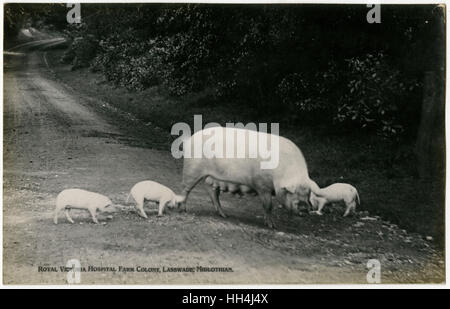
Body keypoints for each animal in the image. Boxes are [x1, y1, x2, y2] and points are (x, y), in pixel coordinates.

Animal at [178, 125, 322, 229]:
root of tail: (189, 139)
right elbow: (268, 205)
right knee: (185, 189)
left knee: (212, 192)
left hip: (211, 177)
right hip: (191, 170)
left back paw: (224, 215)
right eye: (292, 192)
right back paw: (183, 210)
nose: (304, 209)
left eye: (307, 193)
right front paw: (272, 226)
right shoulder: (262, 185)